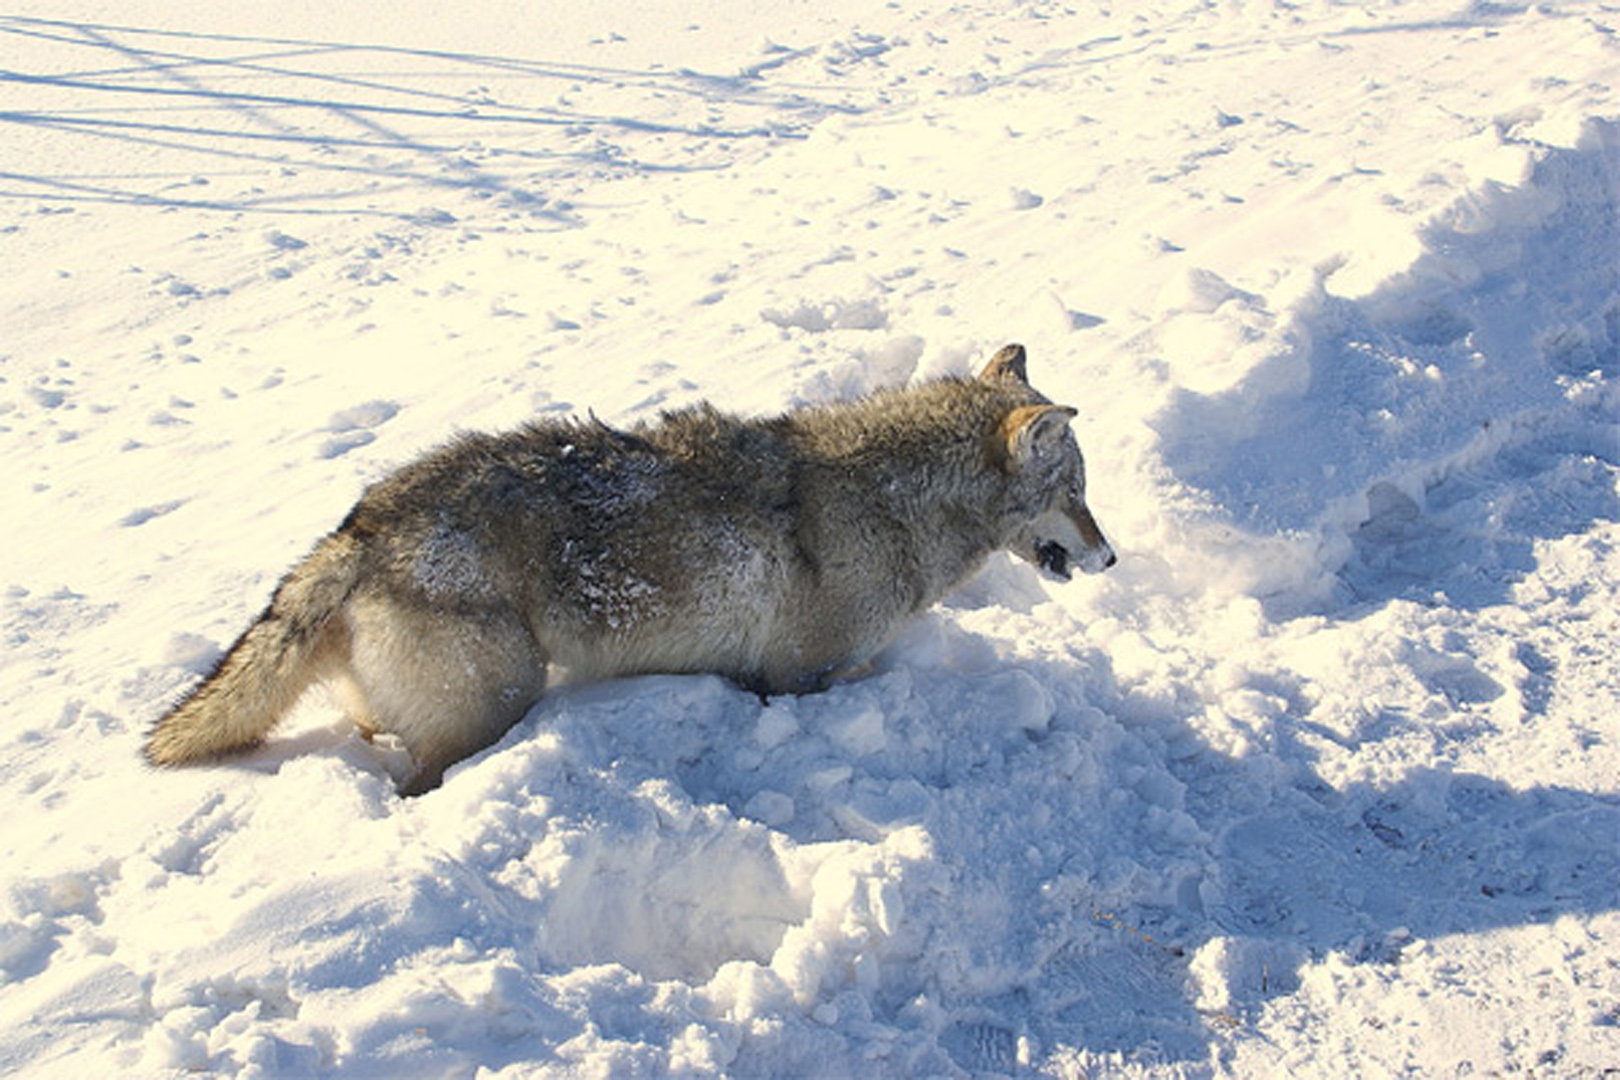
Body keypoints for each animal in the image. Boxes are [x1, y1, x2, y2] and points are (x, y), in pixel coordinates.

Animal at [145, 346, 1114, 793]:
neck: (891, 500)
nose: (1110, 556)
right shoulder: (794, 680)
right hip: (498, 703)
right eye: (1077, 492)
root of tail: (363, 523)